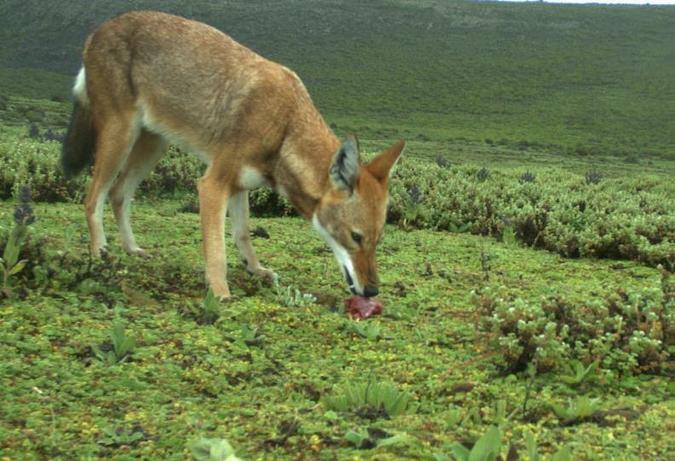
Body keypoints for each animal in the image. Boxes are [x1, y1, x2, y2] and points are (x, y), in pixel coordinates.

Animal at [62, 10, 406, 300]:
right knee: (93, 198)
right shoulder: (213, 184)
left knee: (118, 194)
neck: (284, 126)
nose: (372, 291)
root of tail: (97, 29)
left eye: (378, 239)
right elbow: (217, 251)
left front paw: (255, 269)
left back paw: (132, 250)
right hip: (120, 138)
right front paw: (220, 293)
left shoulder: (239, 185)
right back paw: (100, 253)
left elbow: (242, 234)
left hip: (152, 146)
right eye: (356, 237)